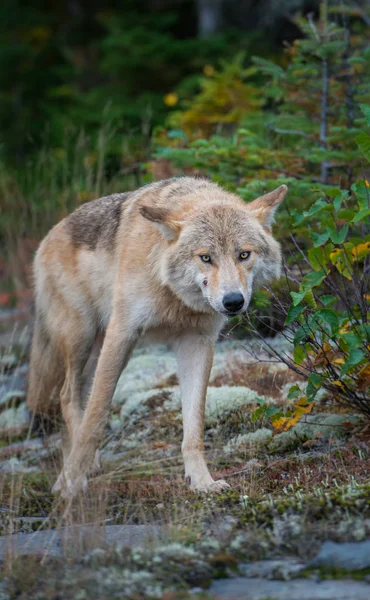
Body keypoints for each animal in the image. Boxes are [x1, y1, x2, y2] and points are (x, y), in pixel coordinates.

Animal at [26, 177, 286, 496]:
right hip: (82, 339)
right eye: (206, 258)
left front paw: (202, 482)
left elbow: (194, 428)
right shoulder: (122, 333)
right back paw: (79, 471)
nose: (233, 301)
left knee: (74, 400)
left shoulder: (197, 343)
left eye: (244, 254)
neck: (173, 294)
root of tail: (48, 237)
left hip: (95, 352)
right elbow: (96, 419)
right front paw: (73, 484)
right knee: (67, 398)